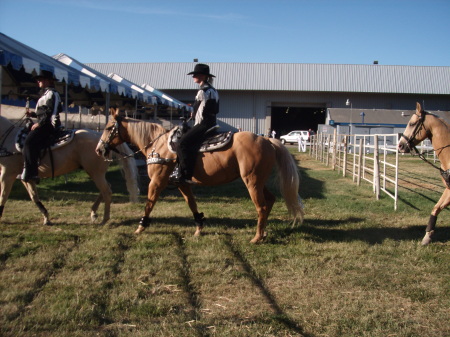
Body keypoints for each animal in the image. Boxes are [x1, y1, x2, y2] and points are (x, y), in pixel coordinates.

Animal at [0, 115, 139, 226]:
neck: (8, 139)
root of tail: (102, 139)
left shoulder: (7, 174)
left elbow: (3, 196)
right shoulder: (25, 177)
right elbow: (34, 197)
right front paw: (46, 218)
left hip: (96, 173)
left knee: (107, 191)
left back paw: (104, 219)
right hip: (95, 173)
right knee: (106, 189)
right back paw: (94, 213)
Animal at [96, 107, 304, 242]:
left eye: (107, 128)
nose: (99, 150)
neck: (158, 145)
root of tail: (267, 140)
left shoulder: (156, 181)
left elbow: (149, 203)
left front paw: (140, 227)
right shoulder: (182, 182)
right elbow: (192, 203)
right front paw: (199, 227)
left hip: (251, 182)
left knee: (261, 206)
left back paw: (257, 237)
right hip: (259, 182)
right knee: (270, 200)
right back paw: (264, 233)